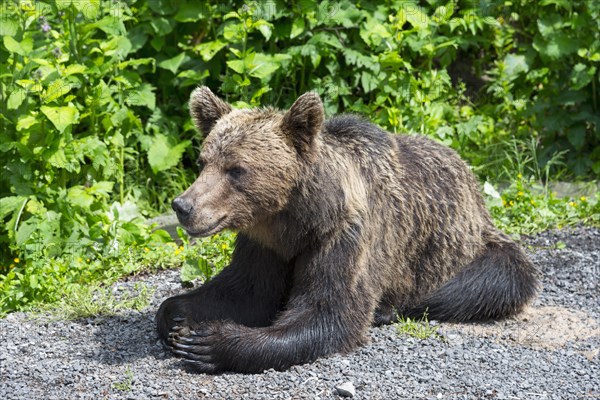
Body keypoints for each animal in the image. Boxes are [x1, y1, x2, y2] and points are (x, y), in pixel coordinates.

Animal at [156, 86, 540, 374]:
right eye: (204, 162)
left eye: (236, 169)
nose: (184, 206)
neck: (297, 220)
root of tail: (469, 174)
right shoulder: (264, 244)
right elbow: (244, 291)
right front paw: (178, 318)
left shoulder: (344, 235)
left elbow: (330, 311)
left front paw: (210, 342)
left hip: (467, 247)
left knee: (489, 282)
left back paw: (389, 308)